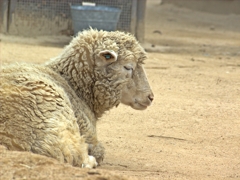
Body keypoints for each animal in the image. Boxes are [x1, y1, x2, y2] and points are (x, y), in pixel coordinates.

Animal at [0, 28, 154, 168]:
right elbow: (99, 150)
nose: (150, 97)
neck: (75, 86)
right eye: (128, 67)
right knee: (73, 155)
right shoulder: (87, 130)